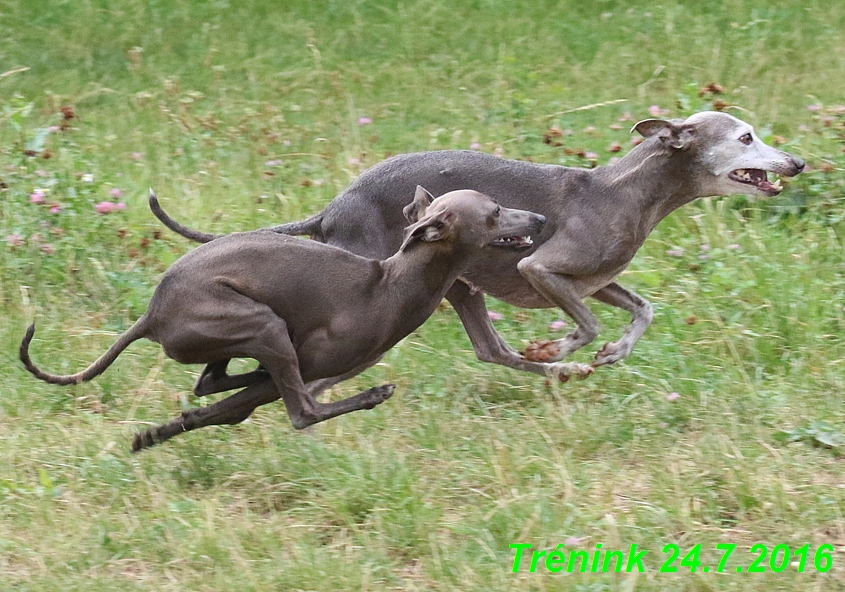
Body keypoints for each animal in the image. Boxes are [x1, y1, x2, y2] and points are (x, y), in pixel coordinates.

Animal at [21, 187, 552, 450]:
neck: (390, 284)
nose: (541, 220)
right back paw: (372, 395)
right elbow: (279, 406)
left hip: (246, 331)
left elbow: (218, 410)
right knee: (299, 410)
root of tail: (150, 314)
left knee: (213, 384)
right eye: (496, 210)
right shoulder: (313, 365)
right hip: (262, 325)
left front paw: (152, 435)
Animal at [152, 113, 804, 376]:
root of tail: (335, 207)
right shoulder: (545, 269)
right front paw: (559, 345)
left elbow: (644, 309)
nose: (797, 161)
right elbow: (586, 322)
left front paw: (612, 353)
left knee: (490, 350)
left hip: (459, 285)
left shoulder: (596, 280)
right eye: (746, 137)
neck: (625, 190)